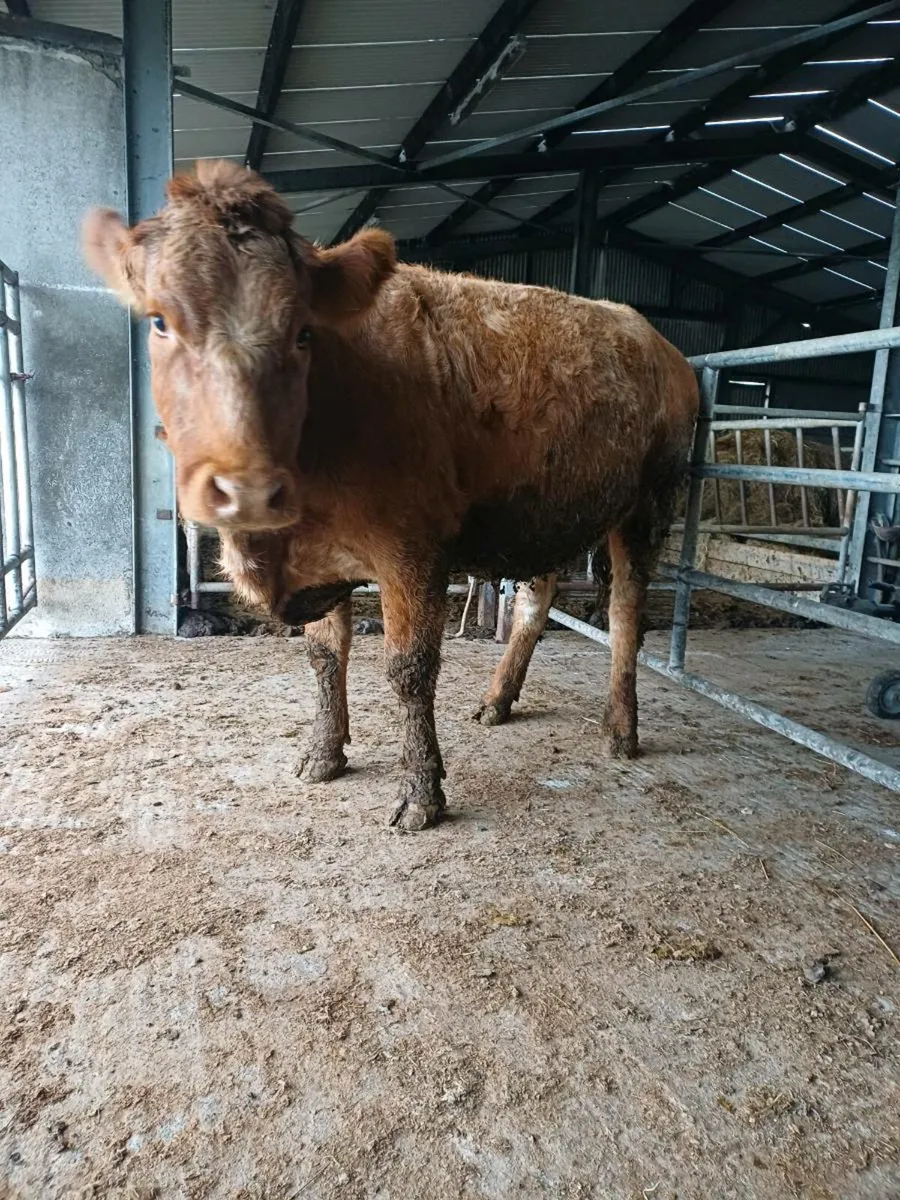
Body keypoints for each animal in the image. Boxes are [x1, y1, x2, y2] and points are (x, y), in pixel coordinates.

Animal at [83, 160, 699, 832]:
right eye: (160, 320)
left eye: (303, 332)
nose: (245, 488)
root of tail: (659, 340)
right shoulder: (323, 559)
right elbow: (326, 657)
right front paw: (324, 754)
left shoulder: (412, 554)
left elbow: (409, 670)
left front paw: (421, 791)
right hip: (547, 510)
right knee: (534, 605)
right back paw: (497, 700)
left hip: (649, 506)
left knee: (625, 615)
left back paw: (620, 728)